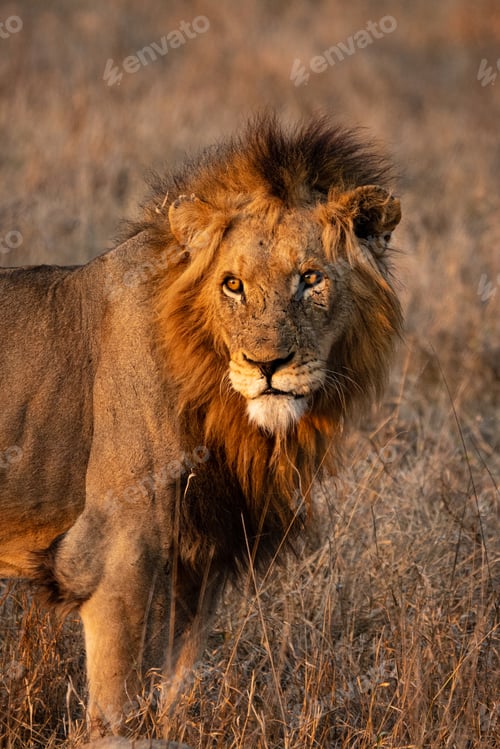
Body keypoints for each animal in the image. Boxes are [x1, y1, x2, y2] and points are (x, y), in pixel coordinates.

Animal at [0, 114, 402, 736]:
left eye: (310, 278)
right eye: (233, 284)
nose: (267, 365)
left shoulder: (202, 565)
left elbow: (172, 699)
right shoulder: (117, 557)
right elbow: (116, 720)